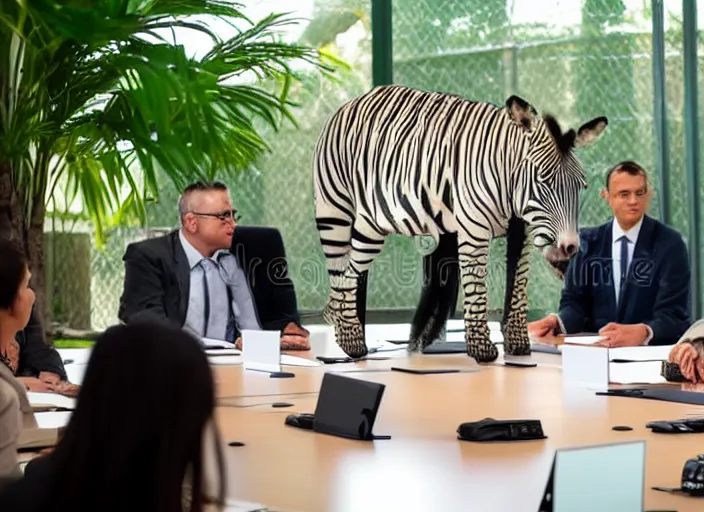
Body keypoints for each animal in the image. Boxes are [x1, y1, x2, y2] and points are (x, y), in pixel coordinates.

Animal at [312, 85, 604, 364]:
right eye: (543, 181)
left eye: (581, 187)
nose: (568, 248)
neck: (508, 179)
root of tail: (351, 103)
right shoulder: (474, 228)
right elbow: (476, 287)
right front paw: (481, 349)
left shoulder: (521, 230)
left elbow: (518, 286)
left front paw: (518, 344)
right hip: (340, 212)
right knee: (343, 273)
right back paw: (350, 339)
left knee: (354, 273)